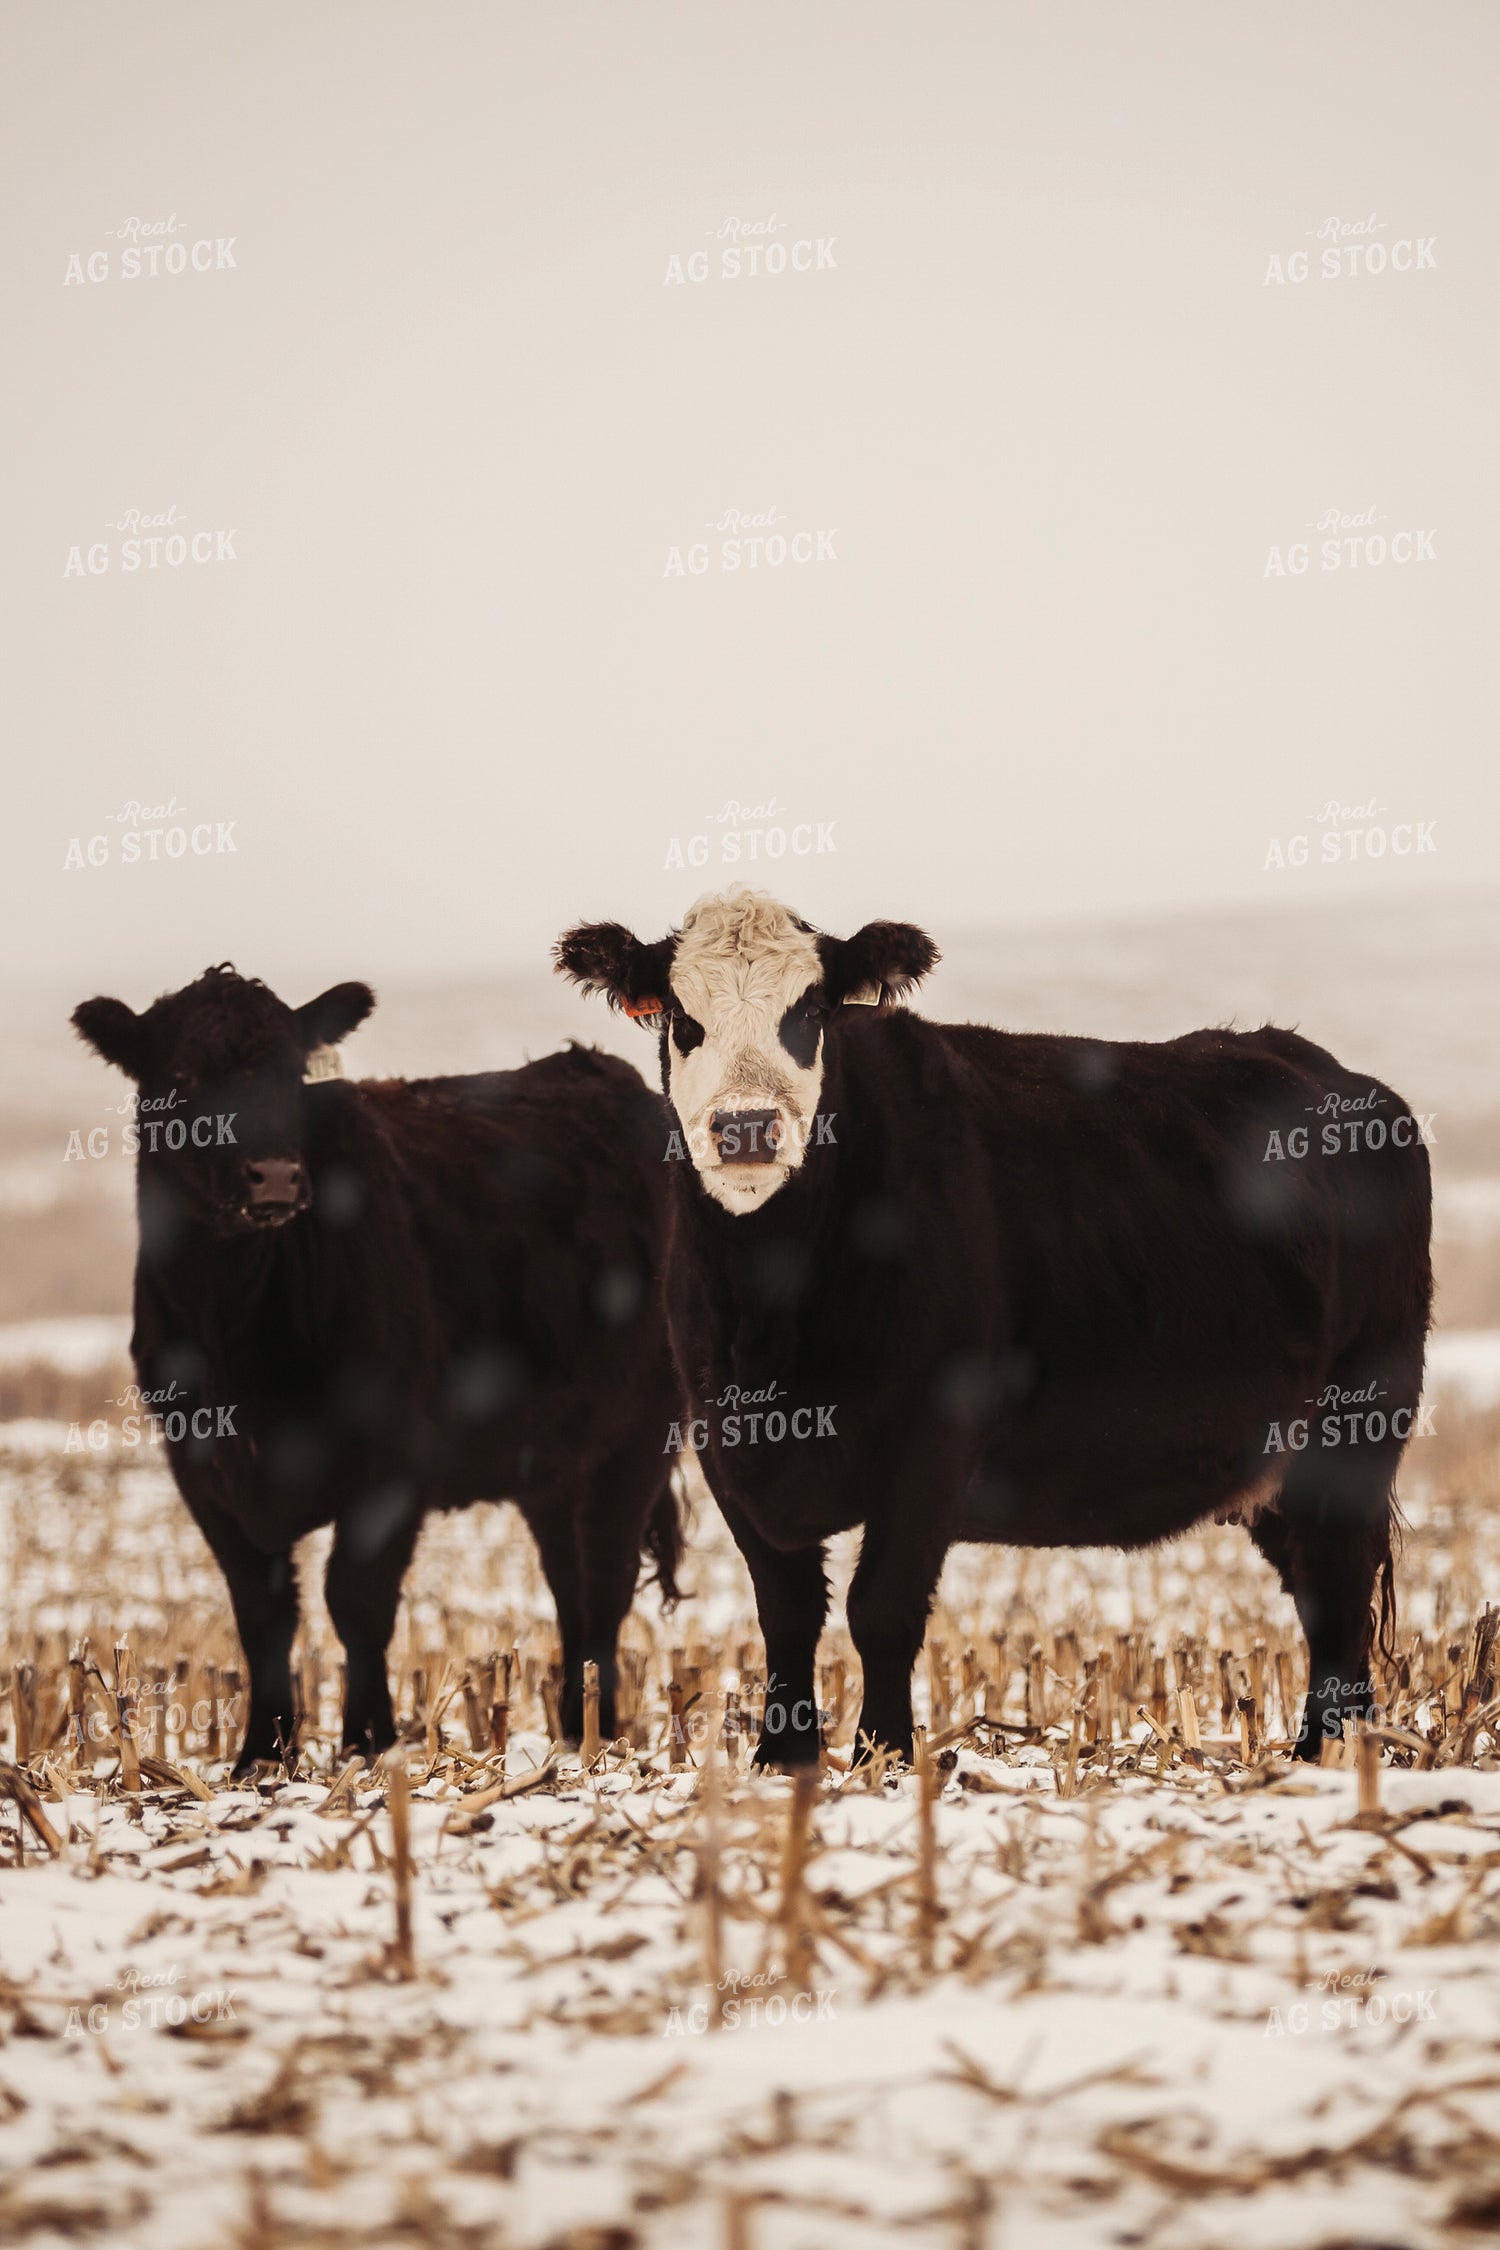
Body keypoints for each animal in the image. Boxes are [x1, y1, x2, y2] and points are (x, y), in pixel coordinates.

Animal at [71, 964, 681, 1770]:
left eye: (289, 1073)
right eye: (181, 1076)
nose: (273, 1178)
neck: (236, 1325)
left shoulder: (392, 1462)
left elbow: (356, 1601)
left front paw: (368, 1741)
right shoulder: (201, 1466)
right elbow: (262, 1611)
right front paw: (261, 1755)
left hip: (637, 1436)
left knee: (606, 1581)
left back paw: (599, 1734)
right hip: (552, 1462)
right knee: (570, 1581)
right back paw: (572, 1729)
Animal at [556, 888, 1433, 1766]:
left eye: (809, 1010)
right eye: (680, 1015)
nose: (745, 1128)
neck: (771, 1305)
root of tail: (1336, 1077)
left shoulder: (934, 1437)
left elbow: (881, 1608)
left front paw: (883, 1756)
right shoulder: (725, 1441)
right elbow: (787, 1613)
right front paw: (781, 1760)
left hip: (1357, 1423)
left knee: (1340, 1582)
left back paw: (1328, 1753)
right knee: (1318, 1587)